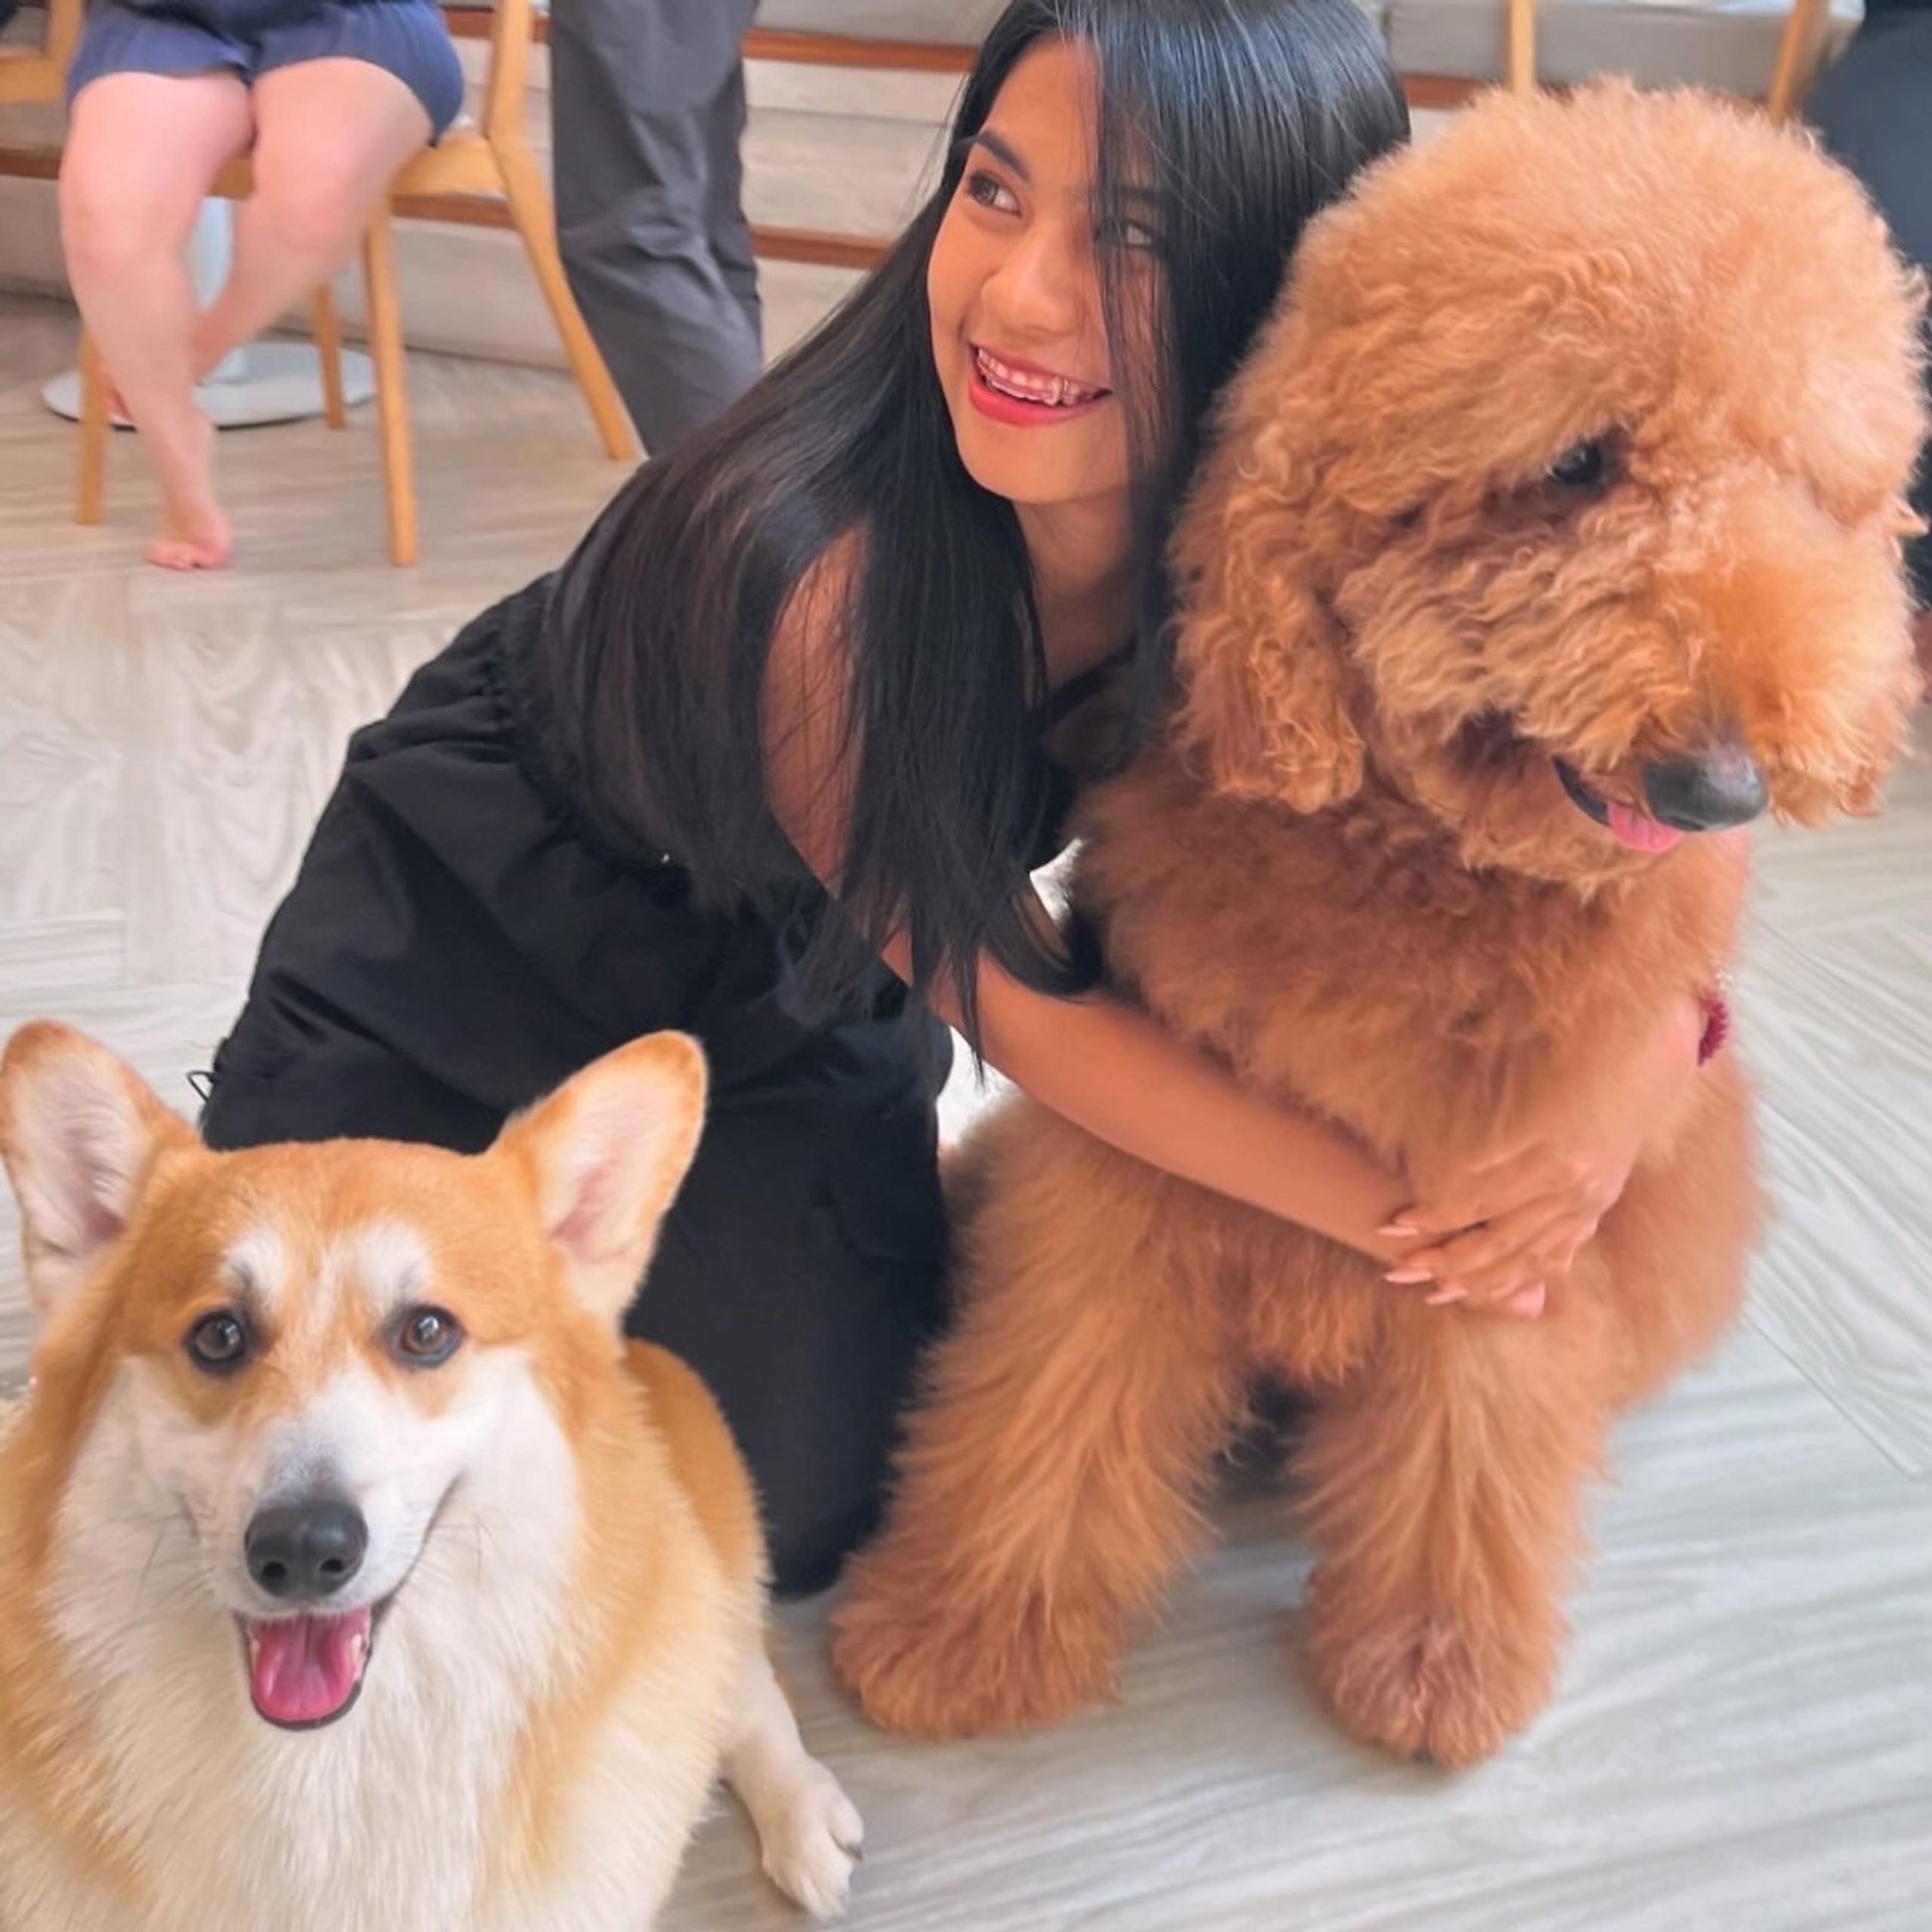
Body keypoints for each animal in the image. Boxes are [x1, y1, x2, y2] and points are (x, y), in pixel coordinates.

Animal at [0, 1023, 861, 1931]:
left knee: (745, 1675)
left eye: (427, 1331)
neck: (328, 1765)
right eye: (219, 1336)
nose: (302, 1551)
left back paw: (802, 1816)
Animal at [832, 84, 1928, 1766]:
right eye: (1576, 463)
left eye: (1809, 491)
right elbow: (1050, 1397)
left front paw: (1433, 1658)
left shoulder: (1511, 1203)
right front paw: (962, 1624)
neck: (1423, 872)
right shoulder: (1119, 1180)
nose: (1725, 784)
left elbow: (1467, 1447)